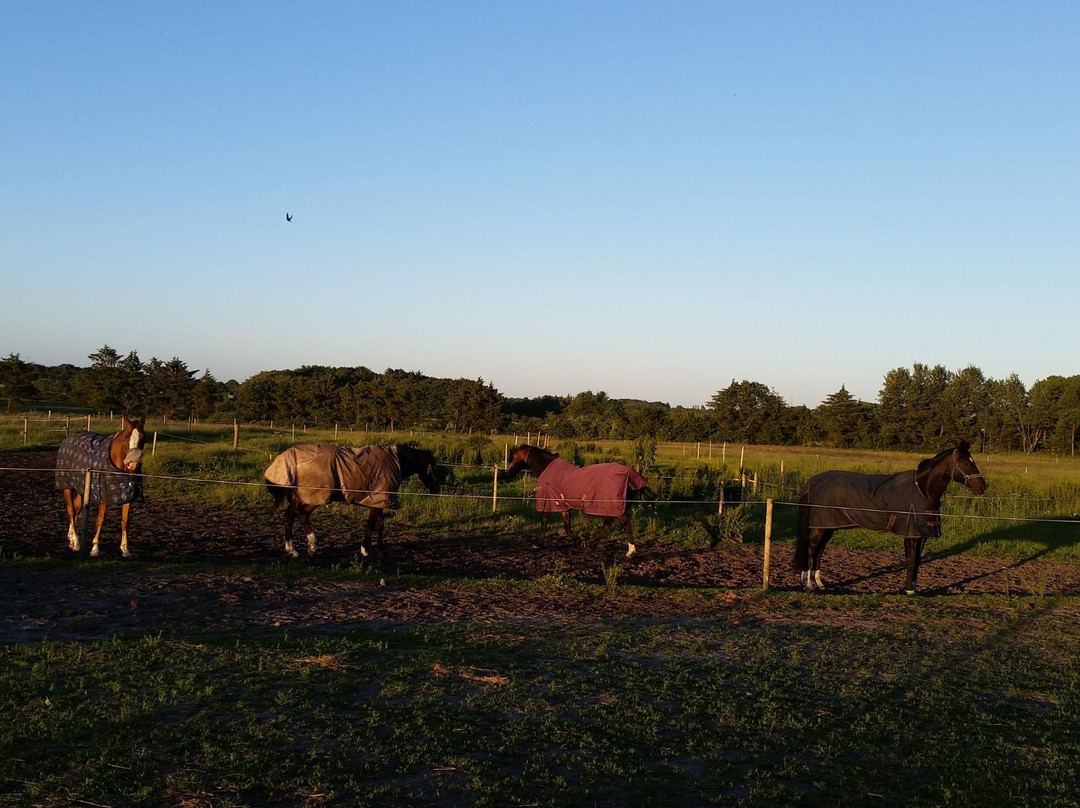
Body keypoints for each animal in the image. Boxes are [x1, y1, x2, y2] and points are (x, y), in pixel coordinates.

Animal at [54, 416, 145, 557]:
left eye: (142, 437)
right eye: (126, 436)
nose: (132, 464)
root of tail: (68, 438)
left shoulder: (128, 497)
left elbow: (125, 521)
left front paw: (125, 549)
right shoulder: (104, 496)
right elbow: (101, 519)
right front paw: (95, 548)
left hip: (81, 488)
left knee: (77, 508)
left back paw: (71, 538)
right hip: (67, 487)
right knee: (71, 510)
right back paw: (76, 542)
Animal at [262, 445, 442, 557]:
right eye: (433, 469)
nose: (437, 490)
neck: (396, 461)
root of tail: (290, 456)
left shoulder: (380, 502)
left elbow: (381, 524)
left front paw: (381, 549)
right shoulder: (377, 502)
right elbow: (371, 525)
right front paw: (365, 550)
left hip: (299, 497)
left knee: (290, 517)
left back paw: (295, 549)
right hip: (315, 498)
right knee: (302, 514)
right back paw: (309, 546)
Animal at [503, 445, 648, 557]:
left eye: (514, 456)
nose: (509, 472)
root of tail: (630, 473)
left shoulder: (549, 503)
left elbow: (544, 523)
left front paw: (538, 544)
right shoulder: (564, 506)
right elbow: (567, 528)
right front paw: (581, 542)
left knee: (623, 523)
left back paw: (629, 551)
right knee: (609, 523)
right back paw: (593, 545)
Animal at [794, 442, 989, 591]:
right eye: (964, 462)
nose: (982, 487)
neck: (922, 489)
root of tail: (813, 481)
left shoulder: (921, 535)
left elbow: (917, 560)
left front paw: (913, 587)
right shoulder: (911, 534)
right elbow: (911, 560)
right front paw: (908, 589)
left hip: (829, 526)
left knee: (819, 551)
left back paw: (819, 584)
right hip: (819, 527)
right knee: (811, 550)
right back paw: (808, 585)